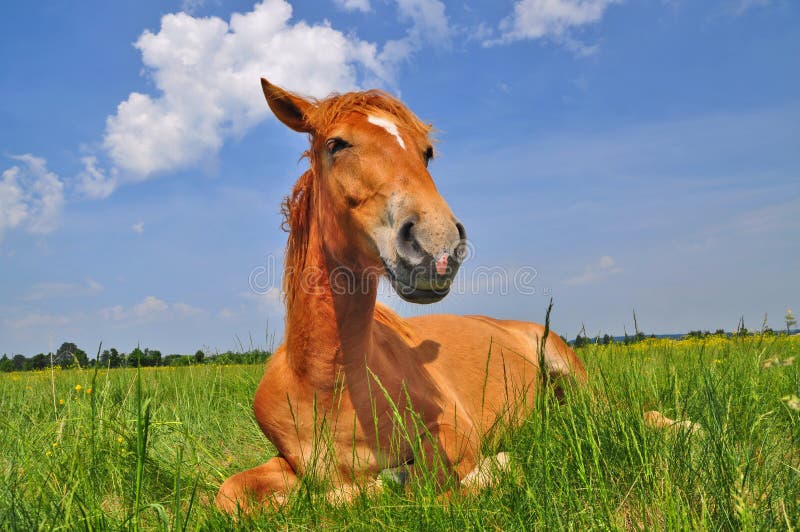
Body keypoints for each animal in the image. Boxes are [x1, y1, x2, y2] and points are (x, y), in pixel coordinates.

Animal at [212, 78, 588, 512]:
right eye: (336, 144)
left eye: (426, 153)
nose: (437, 248)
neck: (326, 387)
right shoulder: (286, 461)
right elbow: (228, 494)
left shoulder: (454, 432)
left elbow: (414, 488)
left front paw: (495, 466)